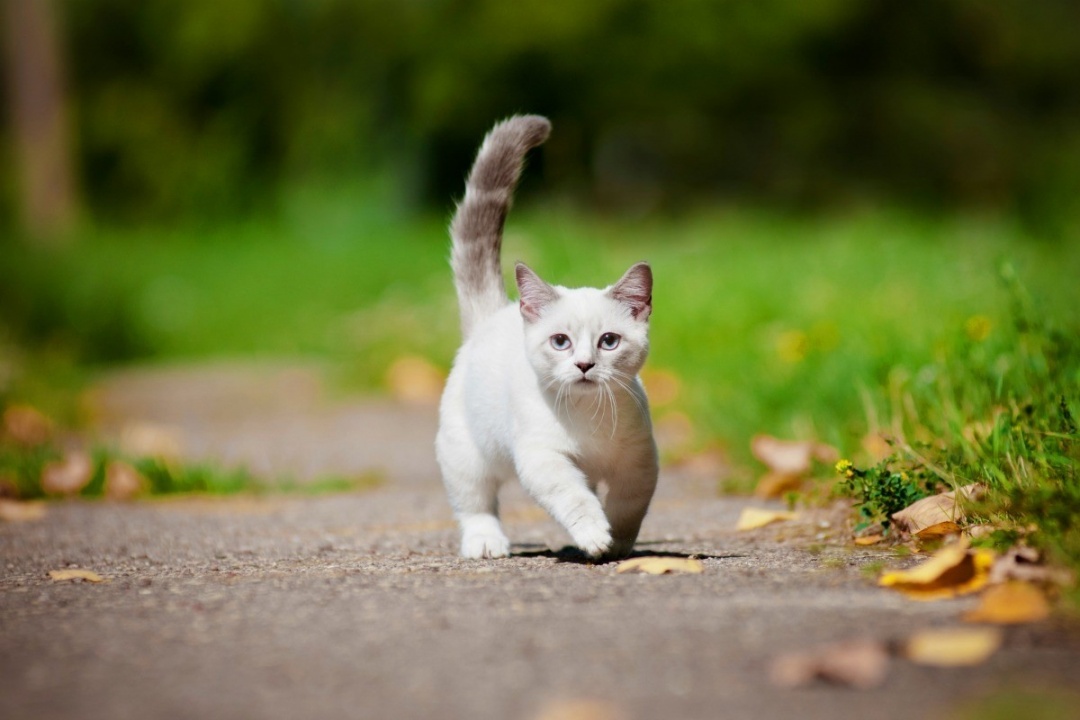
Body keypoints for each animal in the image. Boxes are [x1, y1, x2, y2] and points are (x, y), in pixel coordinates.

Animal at [432, 115, 656, 561]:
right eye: (560, 342)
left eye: (608, 341)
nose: (584, 364)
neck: (589, 422)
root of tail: (494, 313)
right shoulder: (543, 458)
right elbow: (575, 497)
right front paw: (594, 535)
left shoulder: (640, 461)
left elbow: (628, 505)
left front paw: (617, 543)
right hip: (465, 452)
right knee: (475, 503)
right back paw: (486, 542)